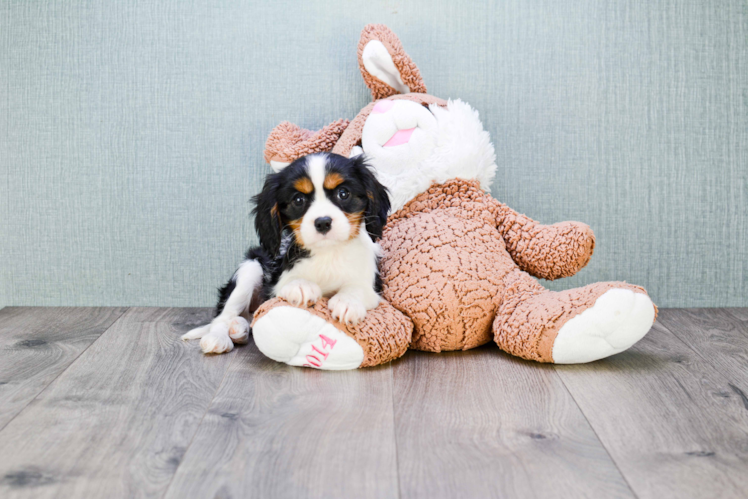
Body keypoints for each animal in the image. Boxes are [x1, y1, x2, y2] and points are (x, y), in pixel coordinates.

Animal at [183, 150, 388, 354]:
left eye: (343, 193)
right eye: (298, 200)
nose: (323, 222)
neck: (327, 252)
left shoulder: (372, 285)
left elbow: (358, 288)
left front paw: (347, 302)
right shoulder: (275, 286)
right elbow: (290, 283)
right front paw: (301, 285)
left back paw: (238, 329)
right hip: (250, 268)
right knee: (223, 316)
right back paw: (219, 337)